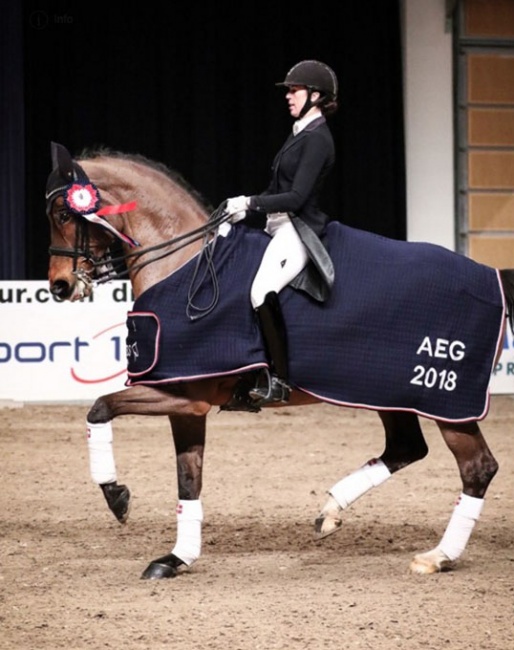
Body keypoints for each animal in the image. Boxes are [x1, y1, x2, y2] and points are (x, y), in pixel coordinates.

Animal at [46, 142, 510, 576]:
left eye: (65, 214)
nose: (60, 286)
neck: (185, 264)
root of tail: (490, 276)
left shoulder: (183, 394)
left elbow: (99, 408)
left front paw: (116, 497)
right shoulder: (187, 404)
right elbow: (188, 480)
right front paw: (176, 558)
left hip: (446, 398)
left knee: (477, 468)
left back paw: (438, 556)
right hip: (389, 390)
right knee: (407, 447)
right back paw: (330, 513)